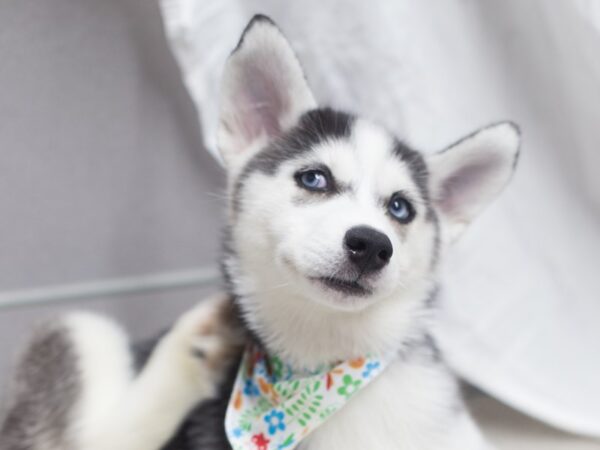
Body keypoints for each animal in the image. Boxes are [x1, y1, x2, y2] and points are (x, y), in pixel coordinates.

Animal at [0, 14, 516, 450]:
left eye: (400, 208)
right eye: (315, 178)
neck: (326, 367)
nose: (371, 245)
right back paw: (191, 346)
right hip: (83, 332)